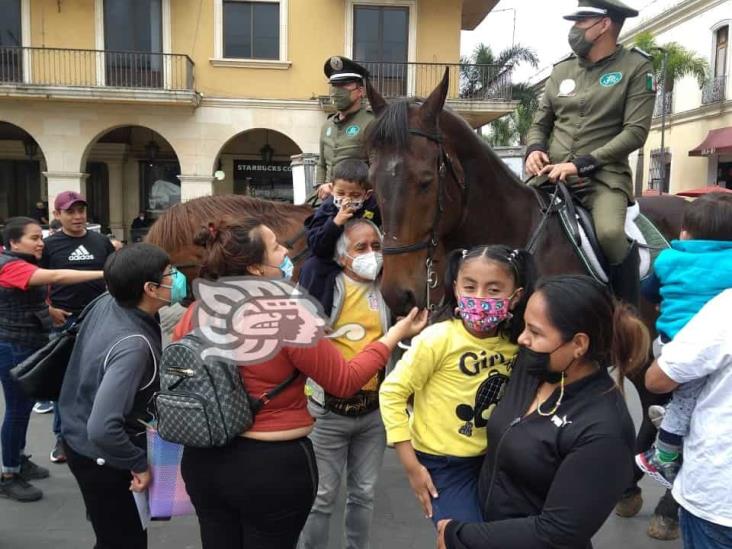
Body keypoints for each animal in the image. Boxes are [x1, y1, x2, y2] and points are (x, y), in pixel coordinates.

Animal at [368, 70, 688, 536]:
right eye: (372, 180)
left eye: (426, 180)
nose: (398, 293)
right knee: (649, 398)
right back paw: (630, 489)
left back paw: (666, 506)